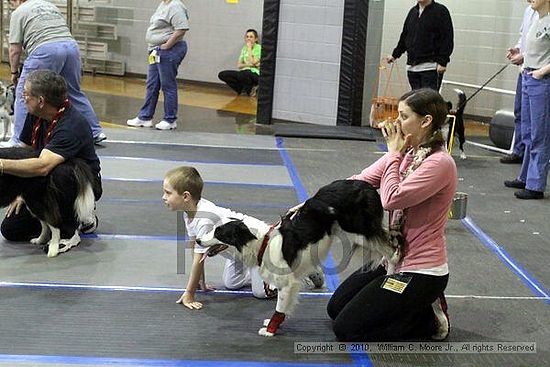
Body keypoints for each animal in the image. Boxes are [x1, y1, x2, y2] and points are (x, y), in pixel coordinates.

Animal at [198, 180, 402, 338]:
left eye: (219, 233)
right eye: (214, 229)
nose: (198, 240)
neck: (262, 243)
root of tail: (366, 185)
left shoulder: (286, 282)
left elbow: (280, 306)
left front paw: (270, 330)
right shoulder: (292, 281)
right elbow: (285, 305)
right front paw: (276, 324)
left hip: (359, 231)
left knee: (392, 250)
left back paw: (390, 275)